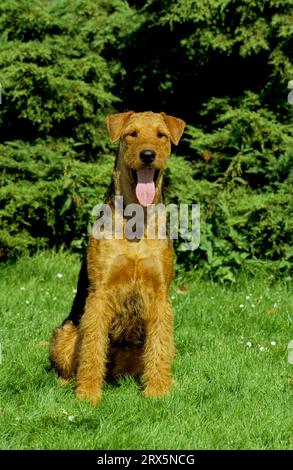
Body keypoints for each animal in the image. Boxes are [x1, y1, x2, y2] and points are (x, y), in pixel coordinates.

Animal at [48, 111, 184, 404]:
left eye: (161, 135)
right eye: (131, 134)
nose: (148, 155)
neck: (136, 221)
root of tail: (115, 374)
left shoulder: (160, 295)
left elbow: (159, 347)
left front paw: (157, 391)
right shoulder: (100, 293)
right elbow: (92, 349)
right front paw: (87, 394)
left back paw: (168, 381)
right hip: (66, 332)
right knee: (70, 363)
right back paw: (69, 384)